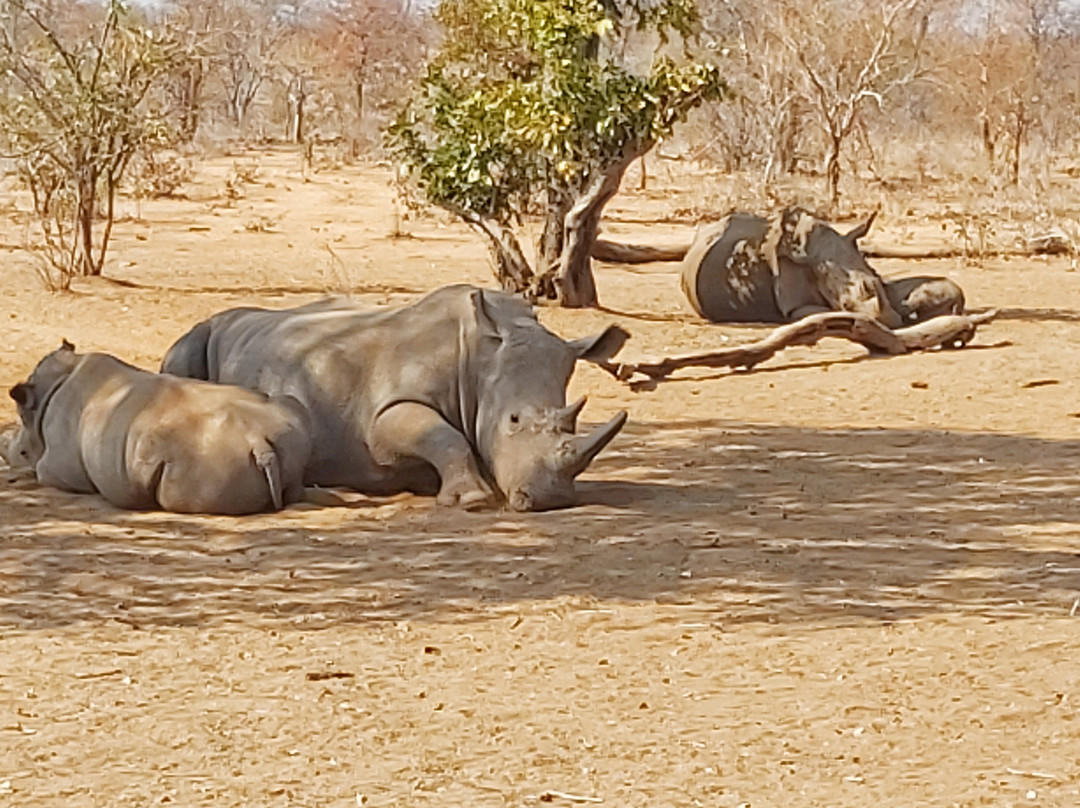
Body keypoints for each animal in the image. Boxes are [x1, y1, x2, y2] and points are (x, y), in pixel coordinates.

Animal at [7, 341, 311, 514]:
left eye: (21, 452)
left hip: (209, 456)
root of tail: (259, 443)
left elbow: (41, 470)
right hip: (286, 425)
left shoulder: (59, 466)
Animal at [160, 284, 629, 511]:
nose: (551, 500)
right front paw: (474, 500)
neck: (482, 356)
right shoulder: (384, 416)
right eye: (512, 422)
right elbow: (441, 437)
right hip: (201, 332)